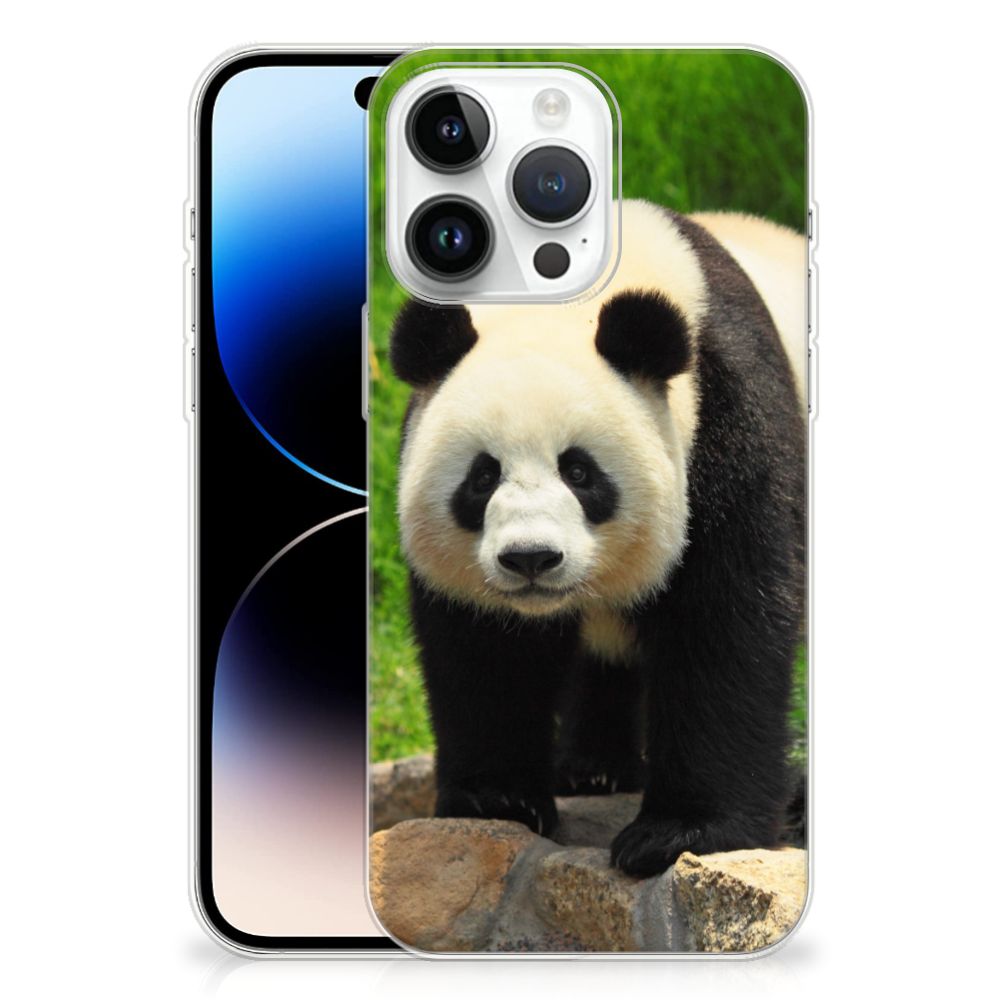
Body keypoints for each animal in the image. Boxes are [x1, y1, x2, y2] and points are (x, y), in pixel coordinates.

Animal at [387, 199, 806, 878]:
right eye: (482, 477)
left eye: (580, 472)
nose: (531, 559)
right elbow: (486, 648)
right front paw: (497, 799)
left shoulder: (729, 422)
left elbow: (726, 624)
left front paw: (679, 833)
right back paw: (593, 769)